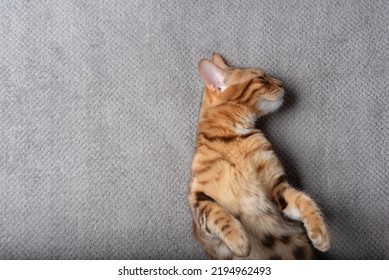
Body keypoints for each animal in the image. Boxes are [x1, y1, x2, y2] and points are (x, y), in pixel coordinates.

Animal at [186, 53, 328, 260]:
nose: (281, 84)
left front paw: (320, 232)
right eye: (261, 78)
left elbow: (304, 200)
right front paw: (239, 241)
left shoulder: (277, 186)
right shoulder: (198, 205)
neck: (235, 137)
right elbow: (216, 213)